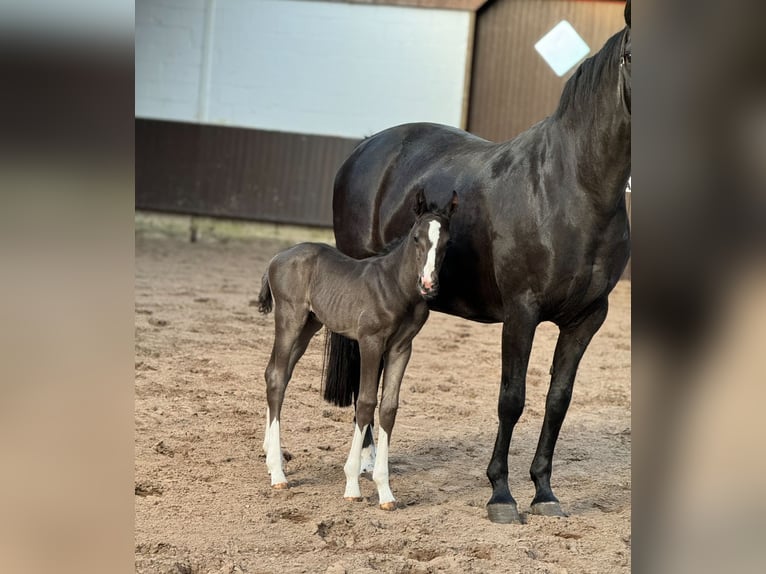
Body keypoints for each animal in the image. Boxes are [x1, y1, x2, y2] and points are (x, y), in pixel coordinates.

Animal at [258, 191, 462, 510]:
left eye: (447, 242)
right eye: (416, 237)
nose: (428, 284)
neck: (396, 286)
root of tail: (276, 258)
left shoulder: (402, 348)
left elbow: (388, 408)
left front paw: (386, 493)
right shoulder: (370, 341)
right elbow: (365, 403)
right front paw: (353, 484)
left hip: (309, 325)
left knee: (277, 374)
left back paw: (272, 456)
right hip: (290, 319)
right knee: (277, 377)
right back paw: (278, 473)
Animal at [328, 0, 632, 524]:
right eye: (632, 56)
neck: (575, 188)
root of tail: (366, 147)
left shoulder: (588, 318)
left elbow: (558, 400)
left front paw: (544, 492)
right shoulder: (522, 312)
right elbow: (512, 399)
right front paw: (501, 495)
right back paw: (365, 466)